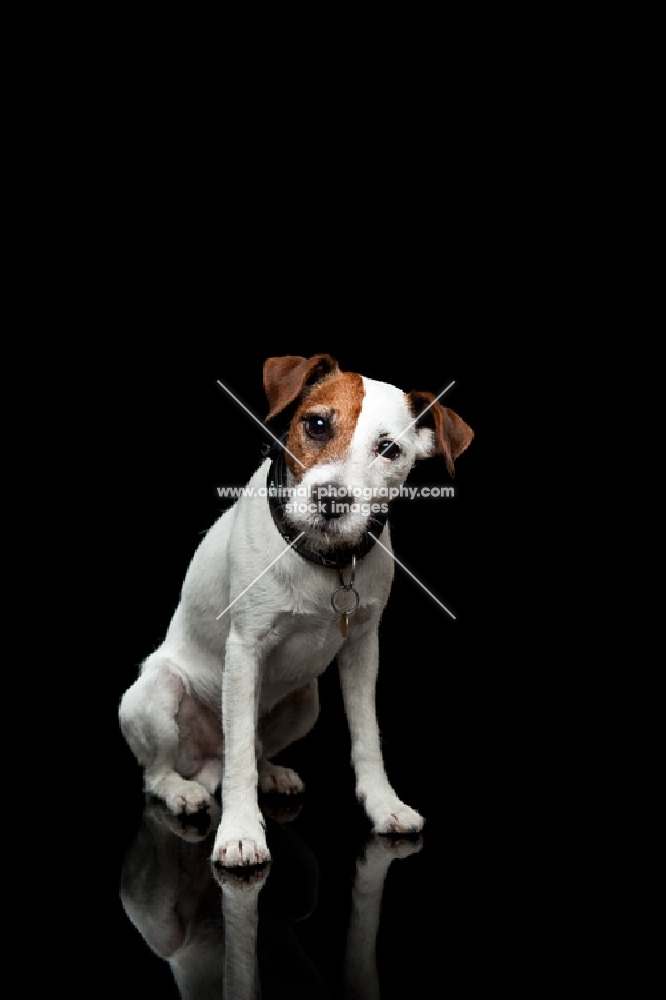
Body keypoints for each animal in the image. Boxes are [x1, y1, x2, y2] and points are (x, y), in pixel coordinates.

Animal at [119, 354, 472, 868]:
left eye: (388, 449)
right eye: (317, 424)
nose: (332, 500)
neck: (324, 560)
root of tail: (204, 760)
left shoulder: (363, 650)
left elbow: (367, 737)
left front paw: (383, 804)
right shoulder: (244, 651)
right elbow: (239, 757)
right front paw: (240, 831)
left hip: (306, 702)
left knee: (253, 749)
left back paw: (272, 773)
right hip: (155, 694)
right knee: (164, 771)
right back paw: (181, 791)